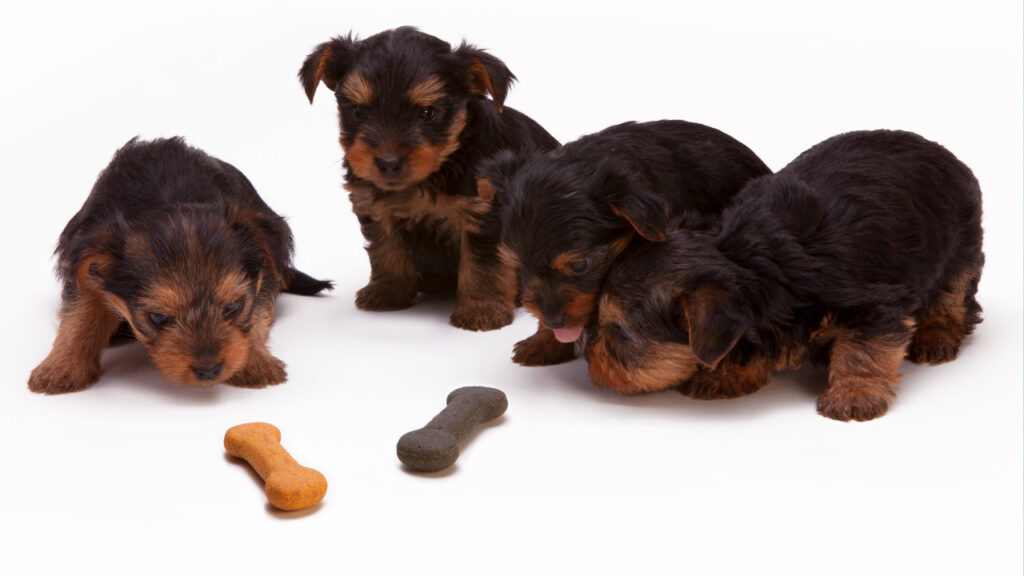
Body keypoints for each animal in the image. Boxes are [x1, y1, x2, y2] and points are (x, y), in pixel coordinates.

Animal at [27, 136, 331, 391]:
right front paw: (62, 366)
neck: (168, 197)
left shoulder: (263, 269)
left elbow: (257, 314)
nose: (209, 371)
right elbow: (78, 316)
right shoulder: (87, 264)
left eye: (233, 307)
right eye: (158, 318)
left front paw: (255, 361)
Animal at [299, 26, 561, 330]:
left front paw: (481, 309)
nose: (388, 163)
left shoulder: (483, 213)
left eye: (428, 113)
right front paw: (387, 291)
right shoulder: (375, 206)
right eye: (358, 111)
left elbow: (484, 264)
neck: (434, 173)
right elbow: (384, 249)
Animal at [589, 127, 987, 420]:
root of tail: (939, 149)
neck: (747, 257)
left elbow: (864, 348)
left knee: (954, 293)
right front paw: (727, 373)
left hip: (962, 241)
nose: (589, 357)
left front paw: (854, 393)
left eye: (621, 334)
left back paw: (937, 335)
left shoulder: (877, 303)